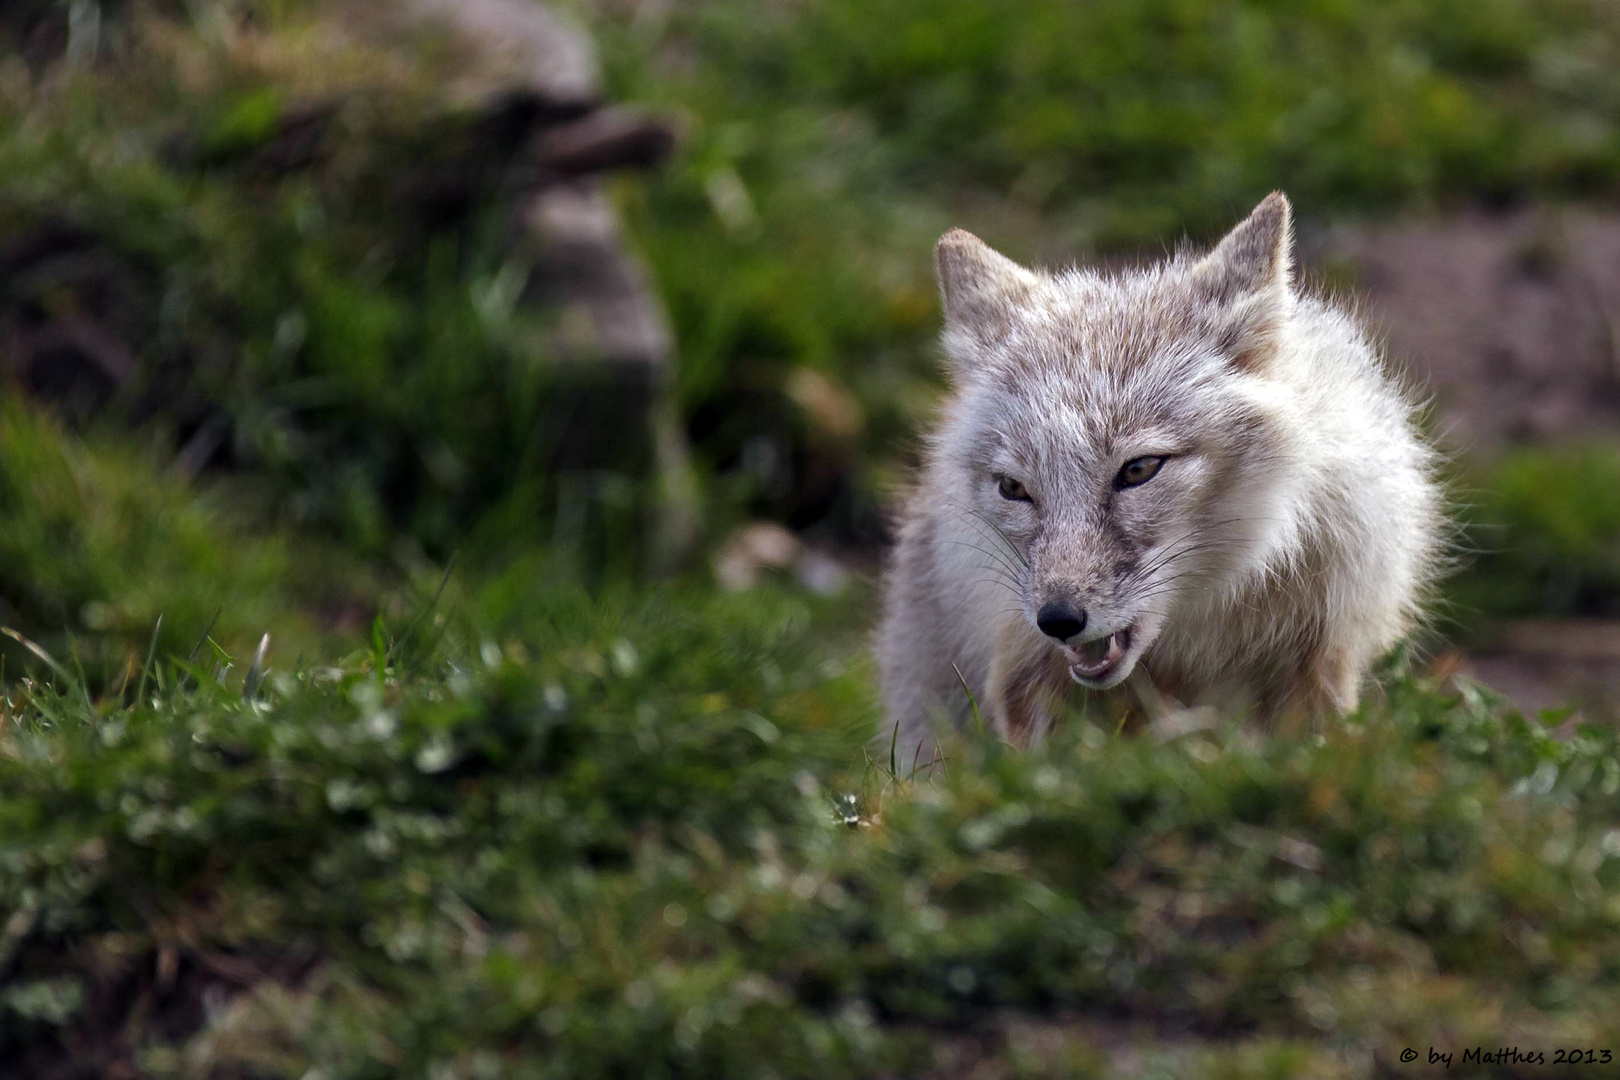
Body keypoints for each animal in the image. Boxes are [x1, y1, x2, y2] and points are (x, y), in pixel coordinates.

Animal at [881, 194, 1451, 767]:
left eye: (1139, 469)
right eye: (1014, 489)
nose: (1057, 618)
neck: (1199, 629)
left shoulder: (1323, 657)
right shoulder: (1022, 674)